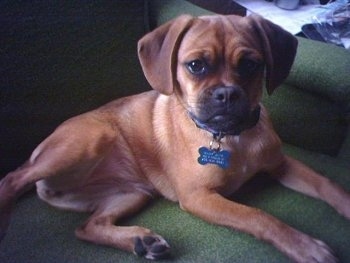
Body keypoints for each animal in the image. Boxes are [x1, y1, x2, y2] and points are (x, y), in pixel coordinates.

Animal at [0, 14, 350, 263]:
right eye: (195, 66)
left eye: (251, 65)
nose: (226, 94)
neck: (231, 138)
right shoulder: (199, 197)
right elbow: (258, 216)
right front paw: (304, 246)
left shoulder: (280, 164)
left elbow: (326, 184)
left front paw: (345, 204)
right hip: (91, 139)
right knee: (12, 179)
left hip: (130, 193)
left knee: (86, 228)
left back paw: (141, 241)